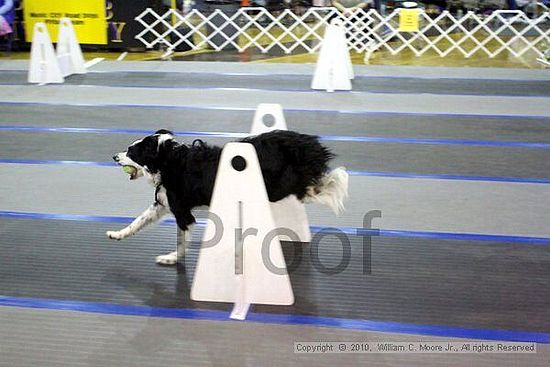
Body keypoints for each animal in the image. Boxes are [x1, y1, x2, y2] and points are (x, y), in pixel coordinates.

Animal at [108, 129, 350, 264]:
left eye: (131, 151)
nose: (114, 156)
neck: (166, 158)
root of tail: (309, 143)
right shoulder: (165, 203)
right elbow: (137, 221)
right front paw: (118, 234)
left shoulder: (182, 212)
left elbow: (182, 241)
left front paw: (172, 258)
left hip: (281, 185)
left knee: (319, 187)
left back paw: (335, 182)